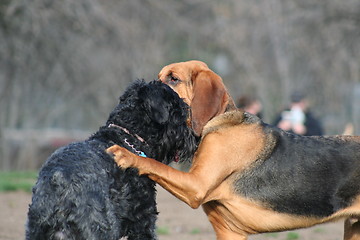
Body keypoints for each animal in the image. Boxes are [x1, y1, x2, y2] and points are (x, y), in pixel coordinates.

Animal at [107, 61, 360, 239]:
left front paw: (126, 155)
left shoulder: (195, 185)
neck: (218, 121)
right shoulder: (229, 231)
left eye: (173, 78)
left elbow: (153, 164)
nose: (142, 88)